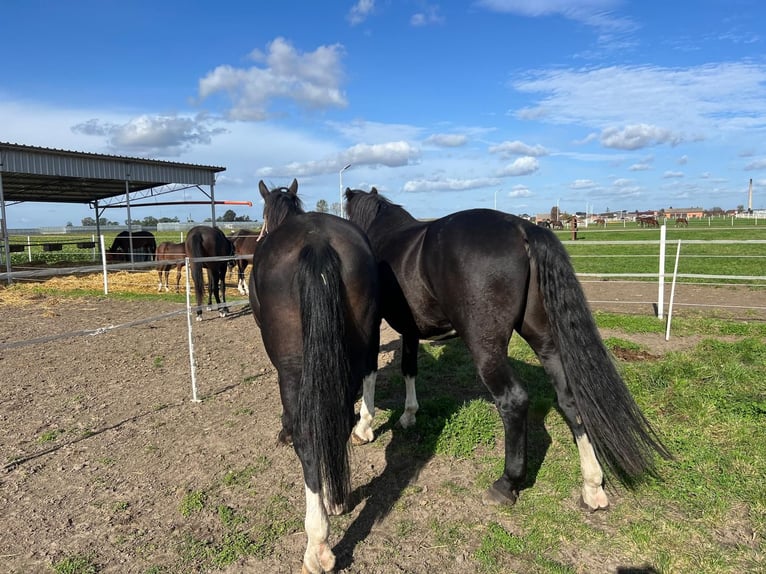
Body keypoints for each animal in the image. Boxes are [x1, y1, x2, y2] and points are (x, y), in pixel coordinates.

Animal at [249, 180, 380, 574]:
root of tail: (318, 243)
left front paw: (283, 431)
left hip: (293, 364)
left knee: (309, 437)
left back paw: (318, 543)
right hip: (360, 338)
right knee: (339, 415)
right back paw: (337, 497)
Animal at [344, 188, 668, 512]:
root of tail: (523, 228)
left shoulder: (373, 325)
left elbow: (370, 371)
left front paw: (363, 427)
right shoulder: (410, 330)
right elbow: (409, 369)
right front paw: (409, 415)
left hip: (486, 347)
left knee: (513, 401)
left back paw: (506, 484)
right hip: (544, 339)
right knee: (570, 400)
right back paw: (592, 488)